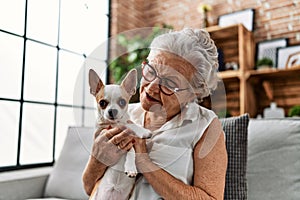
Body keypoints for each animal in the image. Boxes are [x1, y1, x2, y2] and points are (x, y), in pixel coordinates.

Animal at [88, 68, 150, 199]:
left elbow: (132, 150)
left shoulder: (130, 141)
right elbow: (126, 125)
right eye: (102, 103)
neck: (115, 123)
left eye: (122, 102)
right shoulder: (104, 129)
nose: (112, 111)